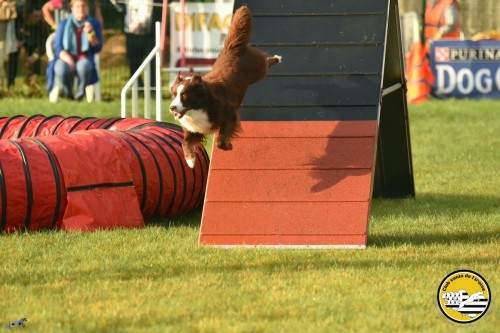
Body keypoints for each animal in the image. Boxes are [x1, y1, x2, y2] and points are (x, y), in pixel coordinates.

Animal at [170, 4, 282, 166]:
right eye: (173, 95)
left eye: (184, 96)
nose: (171, 107)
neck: (199, 107)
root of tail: (232, 48)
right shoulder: (195, 130)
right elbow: (185, 142)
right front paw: (190, 160)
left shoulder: (230, 115)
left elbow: (220, 141)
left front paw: (228, 145)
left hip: (258, 70)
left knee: (265, 61)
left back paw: (277, 58)